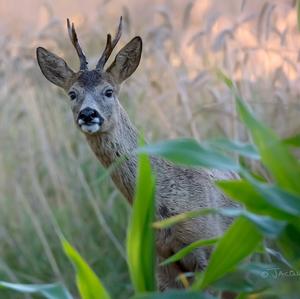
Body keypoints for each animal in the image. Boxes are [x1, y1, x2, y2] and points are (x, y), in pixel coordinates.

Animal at [36, 17, 238, 292]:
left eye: (109, 91)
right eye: (72, 94)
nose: (88, 114)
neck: (166, 212)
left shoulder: (208, 248)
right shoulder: (162, 261)